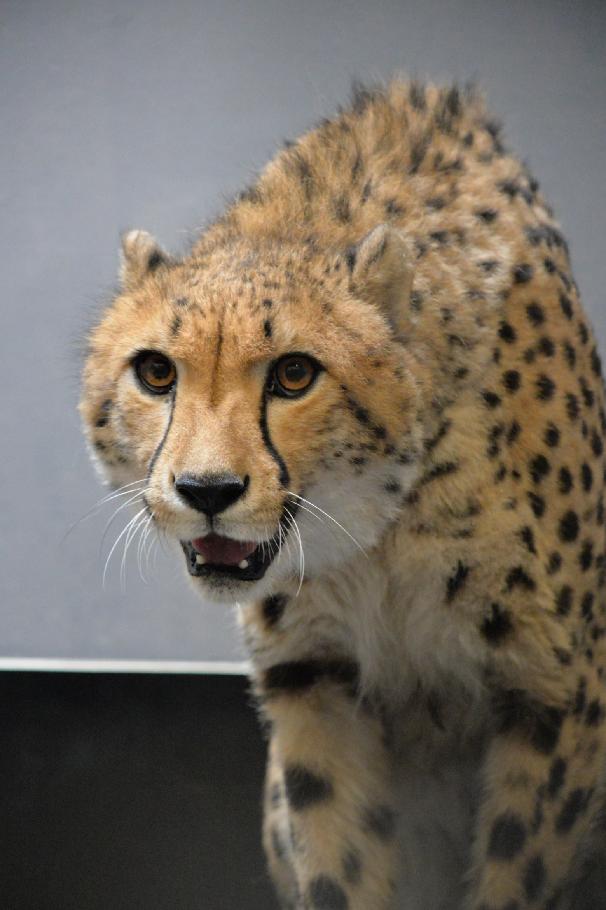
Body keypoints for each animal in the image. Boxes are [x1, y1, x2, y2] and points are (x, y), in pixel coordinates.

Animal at [80, 80, 606, 910]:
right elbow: (339, 856)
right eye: (156, 372)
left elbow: (518, 869)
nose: (206, 489)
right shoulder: (312, 677)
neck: (383, 529)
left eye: (295, 374)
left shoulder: (557, 693)